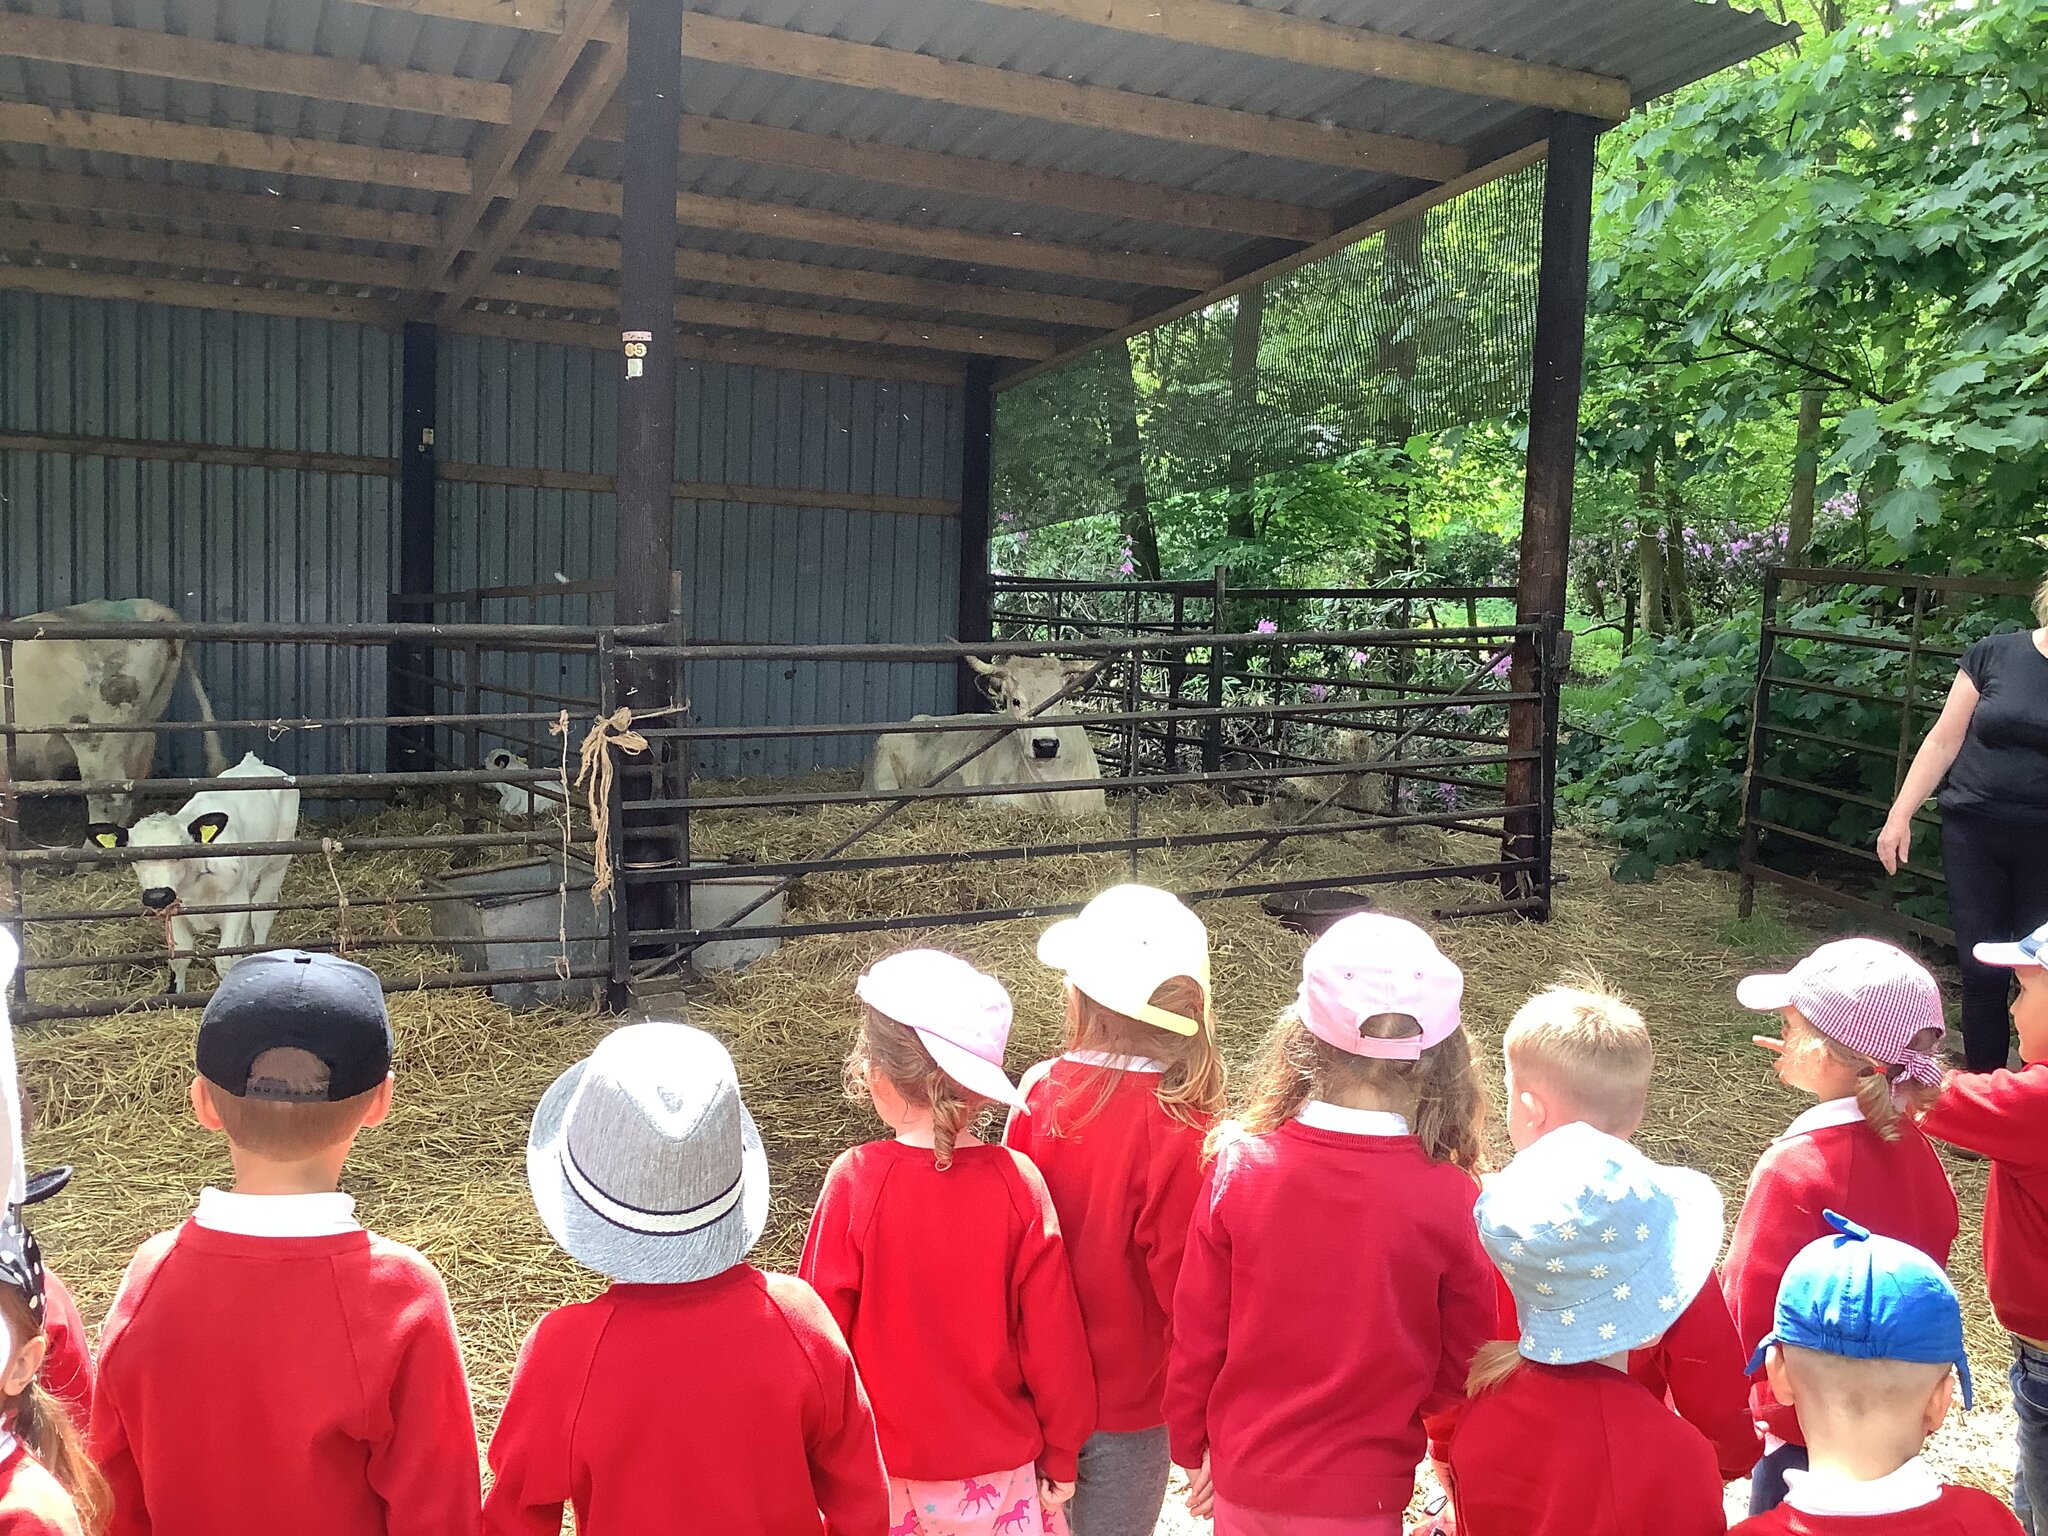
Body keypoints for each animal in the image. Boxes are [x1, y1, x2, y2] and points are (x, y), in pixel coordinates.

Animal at [87, 753, 301, 991]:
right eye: (135, 858)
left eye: (180, 852)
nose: (156, 895)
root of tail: (253, 762)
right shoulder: (174, 912)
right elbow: (180, 957)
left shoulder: (235, 903)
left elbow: (225, 958)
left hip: (278, 863)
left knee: (261, 915)